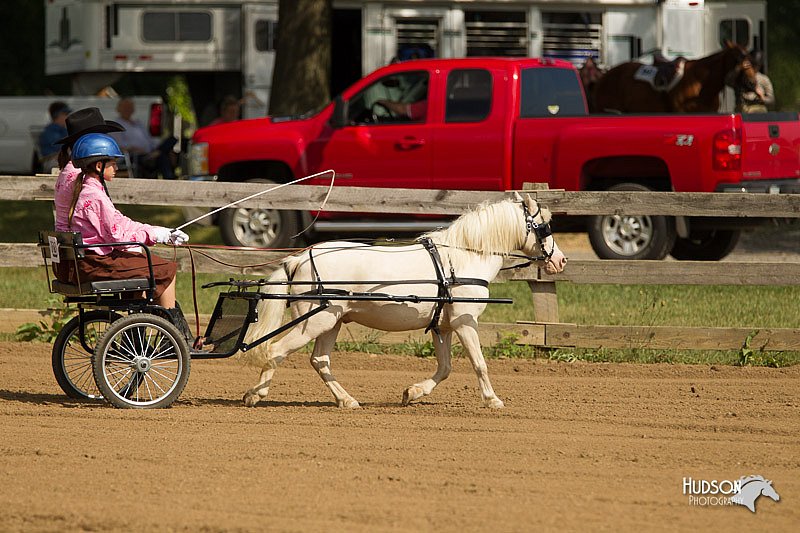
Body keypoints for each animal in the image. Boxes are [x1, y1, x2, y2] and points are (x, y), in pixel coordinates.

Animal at [241, 194, 564, 408]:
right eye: (545, 227)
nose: (560, 260)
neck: (462, 258)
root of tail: (298, 258)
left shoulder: (443, 327)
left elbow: (445, 368)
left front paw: (413, 392)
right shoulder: (465, 322)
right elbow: (479, 363)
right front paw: (493, 399)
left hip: (331, 322)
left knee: (319, 360)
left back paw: (347, 400)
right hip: (315, 321)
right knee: (276, 350)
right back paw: (255, 394)